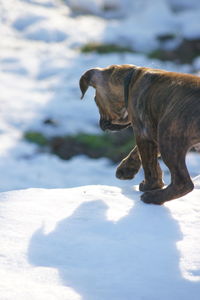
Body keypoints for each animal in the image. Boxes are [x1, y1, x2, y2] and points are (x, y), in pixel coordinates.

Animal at [78, 63, 200, 204]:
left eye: (95, 101)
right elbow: (139, 154)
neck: (130, 80)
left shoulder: (143, 133)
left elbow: (149, 165)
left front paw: (151, 186)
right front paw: (126, 168)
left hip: (168, 136)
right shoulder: (152, 133)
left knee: (183, 182)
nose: (101, 123)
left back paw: (154, 197)